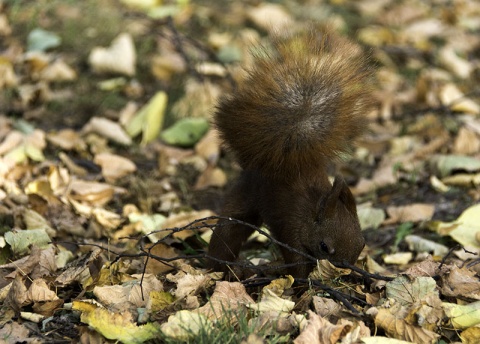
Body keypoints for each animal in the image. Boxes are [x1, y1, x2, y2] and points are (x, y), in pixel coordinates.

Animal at [207, 27, 372, 280]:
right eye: (324, 246)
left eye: (362, 243)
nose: (343, 271)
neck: (312, 211)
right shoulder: (291, 230)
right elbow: (297, 263)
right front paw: (302, 283)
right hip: (246, 196)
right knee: (229, 229)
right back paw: (216, 266)